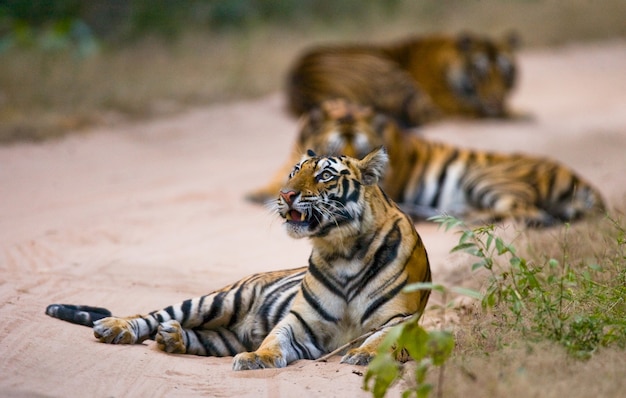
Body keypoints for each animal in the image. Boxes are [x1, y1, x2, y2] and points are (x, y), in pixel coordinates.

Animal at [46, 146, 432, 370]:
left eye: (324, 175)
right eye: (295, 172)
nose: (285, 194)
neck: (342, 251)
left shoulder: (400, 318)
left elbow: (382, 339)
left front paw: (365, 354)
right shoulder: (300, 322)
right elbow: (274, 339)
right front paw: (257, 358)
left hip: (224, 333)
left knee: (198, 336)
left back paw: (173, 339)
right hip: (219, 300)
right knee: (155, 315)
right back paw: (115, 328)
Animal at [246, 99, 604, 227]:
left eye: (359, 149)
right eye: (334, 148)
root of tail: (581, 181)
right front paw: (259, 192)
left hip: (486, 179)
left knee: (528, 213)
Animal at [286, 31, 520, 127]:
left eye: (505, 71)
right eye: (481, 72)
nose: (496, 101)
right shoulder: (447, 101)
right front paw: (515, 112)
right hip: (393, 76)